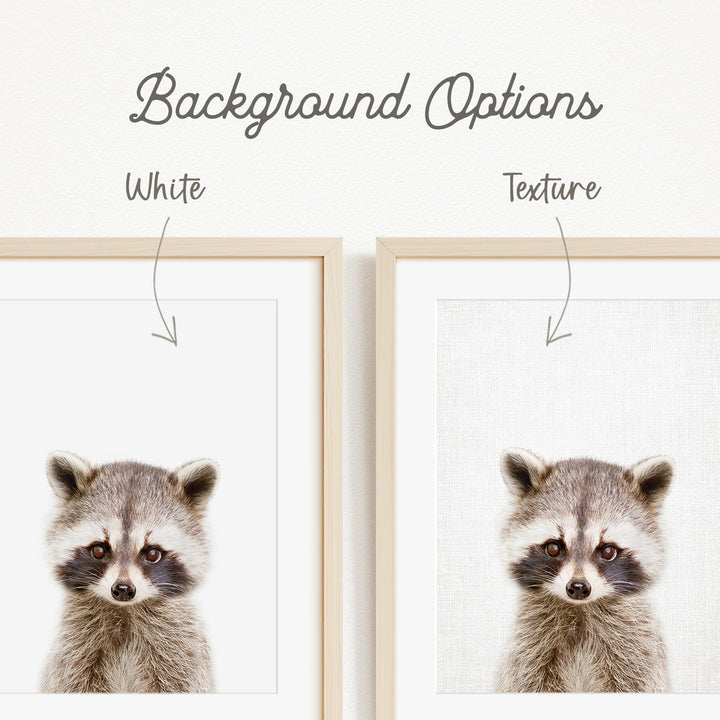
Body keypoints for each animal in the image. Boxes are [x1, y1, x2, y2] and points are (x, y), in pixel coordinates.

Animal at [41, 451, 218, 693]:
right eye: (98, 550)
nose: (123, 589)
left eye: (152, 553)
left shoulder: (182, 652)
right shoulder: (73, 650)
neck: (125, 611)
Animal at [496, 449, 672, 693]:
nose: (578, 587)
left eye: (607, 551)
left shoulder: (637, 649)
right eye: (553, 548)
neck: (580, 609)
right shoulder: (528, 647)